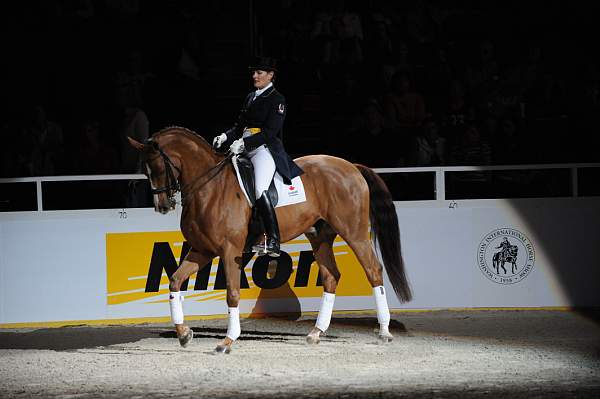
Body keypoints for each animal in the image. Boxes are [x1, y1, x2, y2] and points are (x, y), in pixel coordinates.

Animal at [129, 127, 412, 354]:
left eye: (158, 167)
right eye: (145, 171)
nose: (162, 206)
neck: (208, 188)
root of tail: (351, 166)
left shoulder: (230, 250)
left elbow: (232, 293)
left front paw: (227, 341)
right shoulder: (202, 250)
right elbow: (175, 282)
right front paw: (184, 334)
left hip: (354, 232)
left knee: (373, 270)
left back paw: (384, 331)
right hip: (320, 236)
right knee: (331, 276)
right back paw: (316, 333)